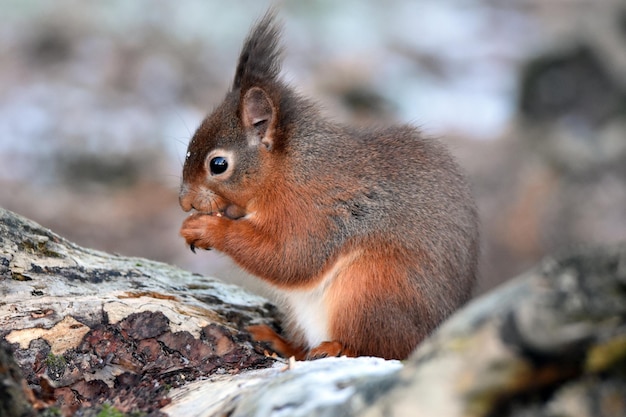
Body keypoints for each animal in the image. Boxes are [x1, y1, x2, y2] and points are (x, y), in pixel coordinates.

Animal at [178, 11, 480, 360]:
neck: (288, 170)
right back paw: (279, 341)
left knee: (381, 346)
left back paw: (336, 347)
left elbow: (291, 257)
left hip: (370, 289)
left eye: (218, 165)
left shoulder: (316, 211)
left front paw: (206, 228)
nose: (184, 201)